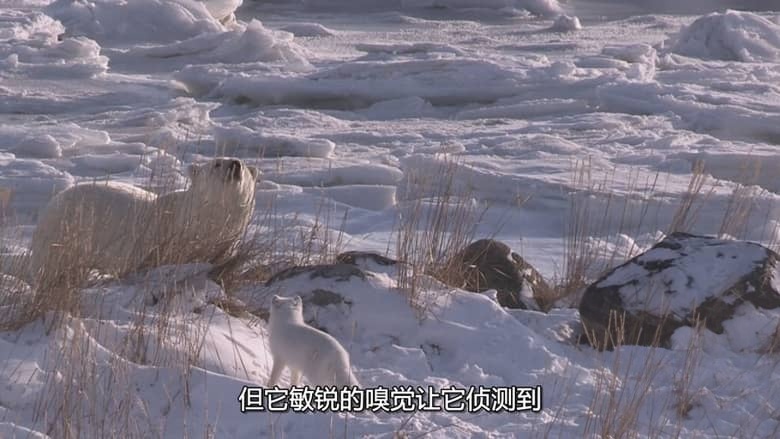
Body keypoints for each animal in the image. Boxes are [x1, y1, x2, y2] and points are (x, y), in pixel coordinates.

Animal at [28, 157, 259, 290]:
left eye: (246, 168)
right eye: (217, 163)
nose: (236, 164)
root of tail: (49, 206)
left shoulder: (225, 241)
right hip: (62, 235)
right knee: (51, 268)